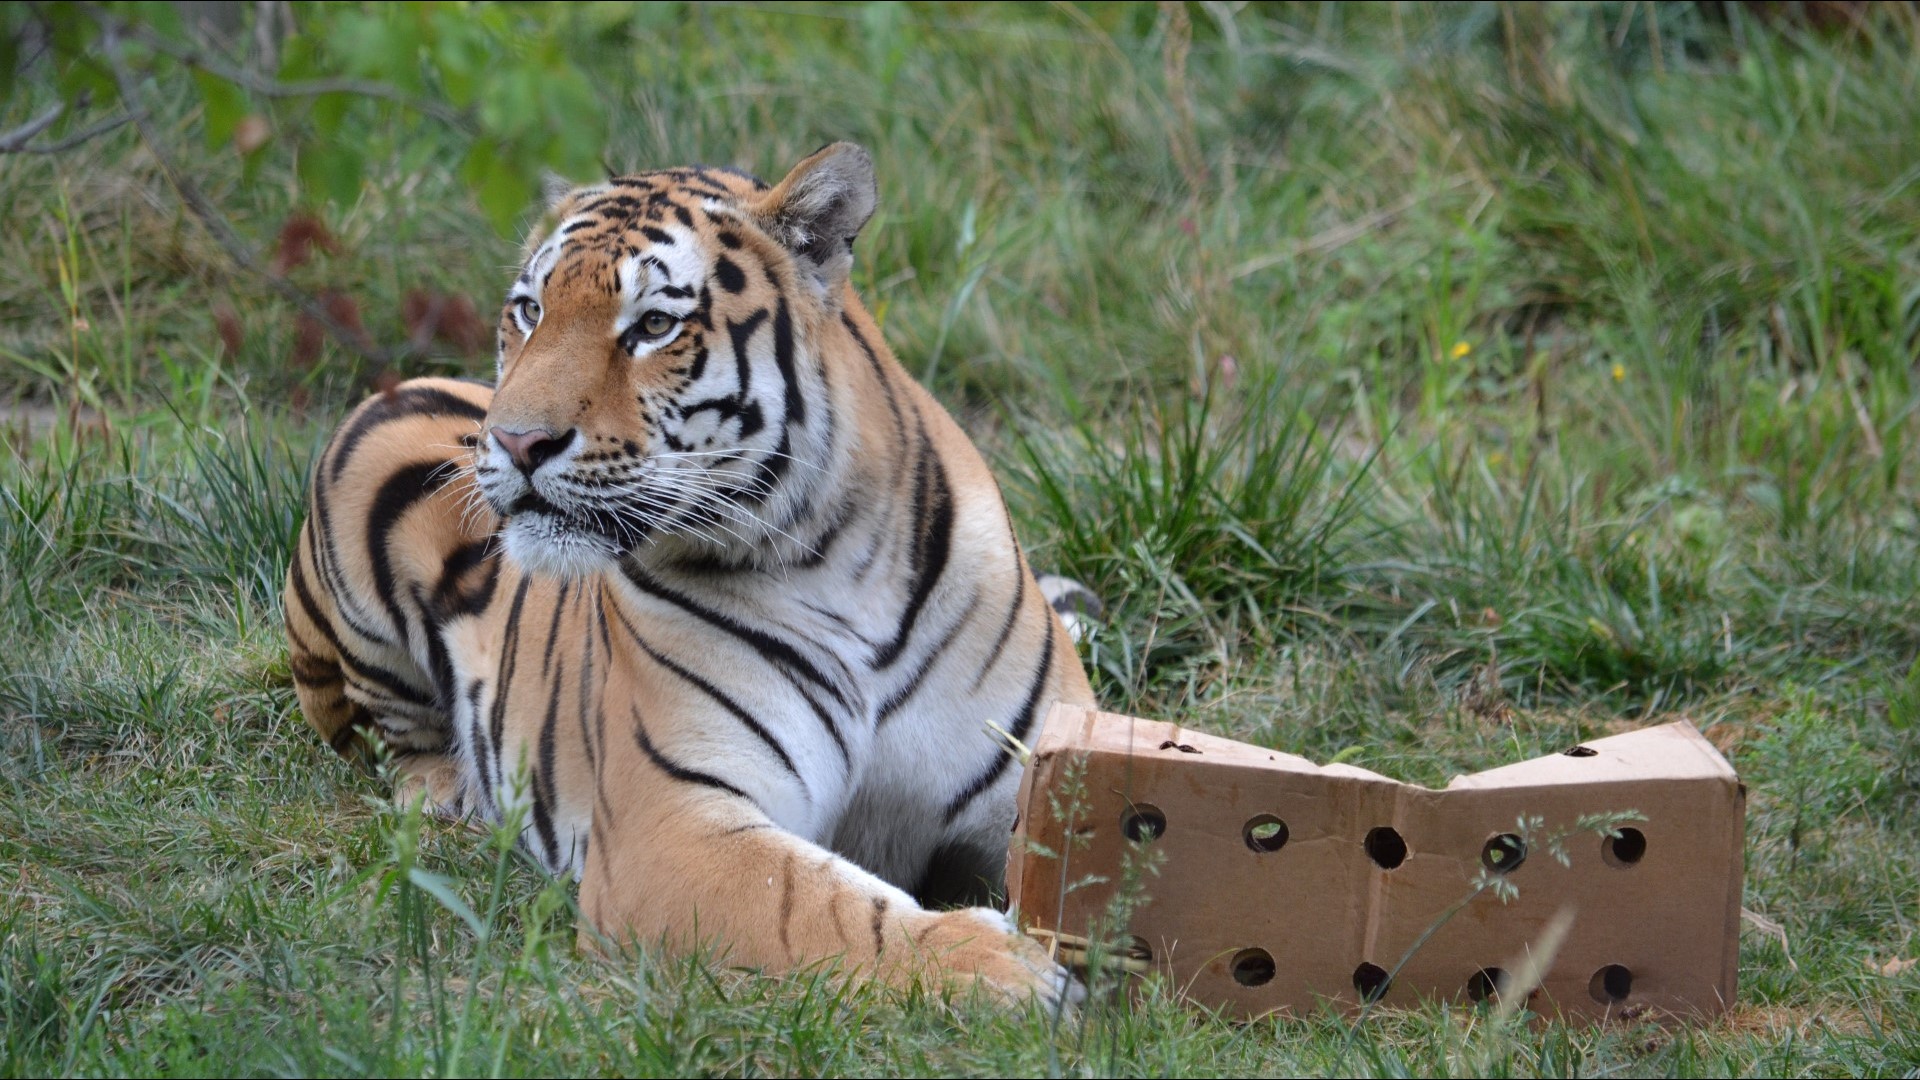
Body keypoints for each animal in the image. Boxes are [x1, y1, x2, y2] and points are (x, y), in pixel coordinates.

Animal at [280, 141, 1098, 999]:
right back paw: (449, 795)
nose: (513, 441)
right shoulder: (672, 826)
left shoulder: (1034, 783)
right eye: (531, 311)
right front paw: (1001, 969)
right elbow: (822, 906)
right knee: (385, 733)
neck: (841, 558)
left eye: (654, 325)